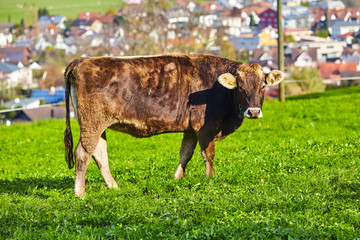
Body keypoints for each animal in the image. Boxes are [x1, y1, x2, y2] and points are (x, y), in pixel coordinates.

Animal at [64, 53, 284, 196]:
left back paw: (113, 187)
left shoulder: (191, 129)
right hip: (92, 123)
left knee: (99, 154)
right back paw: (80, 193)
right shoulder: (206, 127)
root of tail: (83, 59)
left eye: (263, 86)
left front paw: (178, 177)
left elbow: (185, 153)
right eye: (240, 87)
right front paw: (211, 178)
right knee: (83, 153)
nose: (253, 111)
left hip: (98, 126)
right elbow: (208, 154)